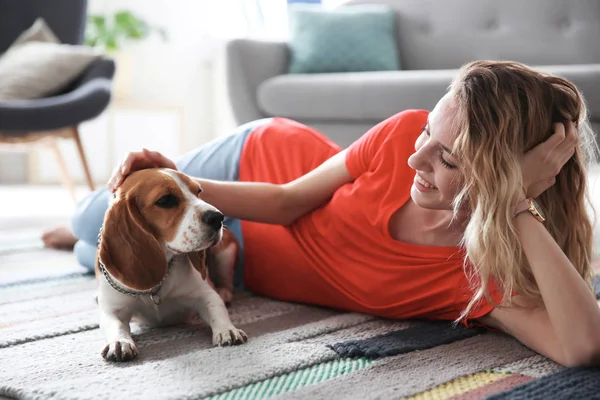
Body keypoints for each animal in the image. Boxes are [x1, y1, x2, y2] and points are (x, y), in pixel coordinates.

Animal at [96, 167, 246, 360]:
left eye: (198, 191)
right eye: (166, 200)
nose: (218, 217)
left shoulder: (205, 294)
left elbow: (216, 307)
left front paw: (227, 329)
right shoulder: (113, 310)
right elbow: (115, 325)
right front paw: (120, 342)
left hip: (225, 254)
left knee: (226, 282)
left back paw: (224, 292)